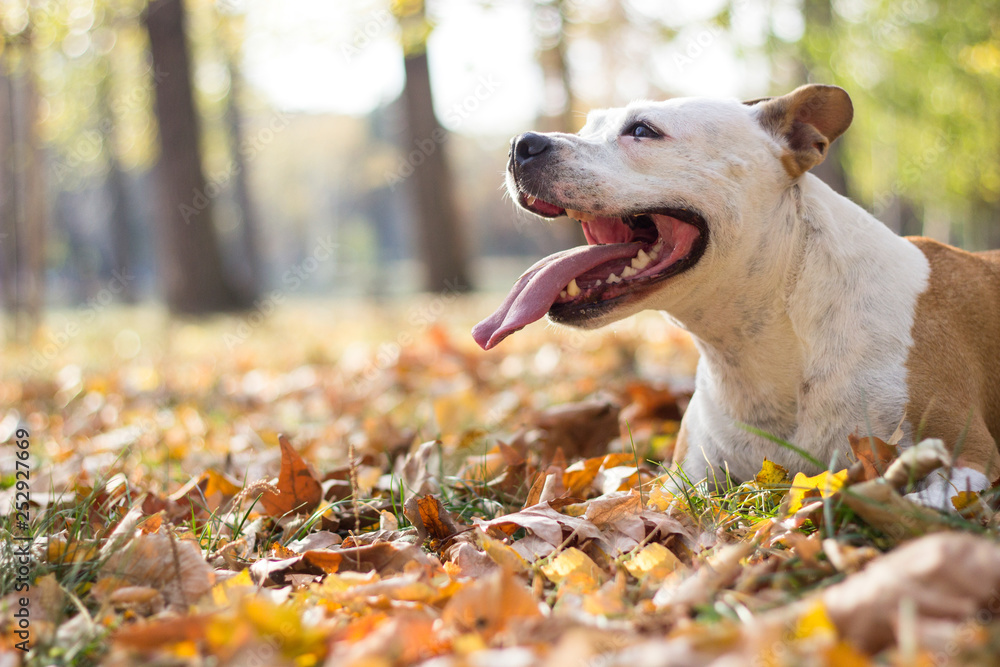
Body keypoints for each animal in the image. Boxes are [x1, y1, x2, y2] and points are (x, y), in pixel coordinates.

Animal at [474, 86, 1000, 508]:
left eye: (642, 130)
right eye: (588, 126)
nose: (522, 144)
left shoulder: (968, 455)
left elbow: (940, 495)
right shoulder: (687, 475)